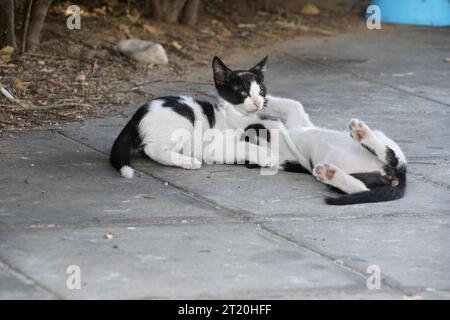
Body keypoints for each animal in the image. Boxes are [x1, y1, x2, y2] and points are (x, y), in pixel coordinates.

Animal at [110, 56, 282, 179]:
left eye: (261, 92)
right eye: (243, 93)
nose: (257, 103)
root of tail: (136, 116)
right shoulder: (213, 149)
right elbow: (244, 146)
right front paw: (268, 156)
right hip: (184, 122)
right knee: (153, 150)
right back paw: (188, 161)